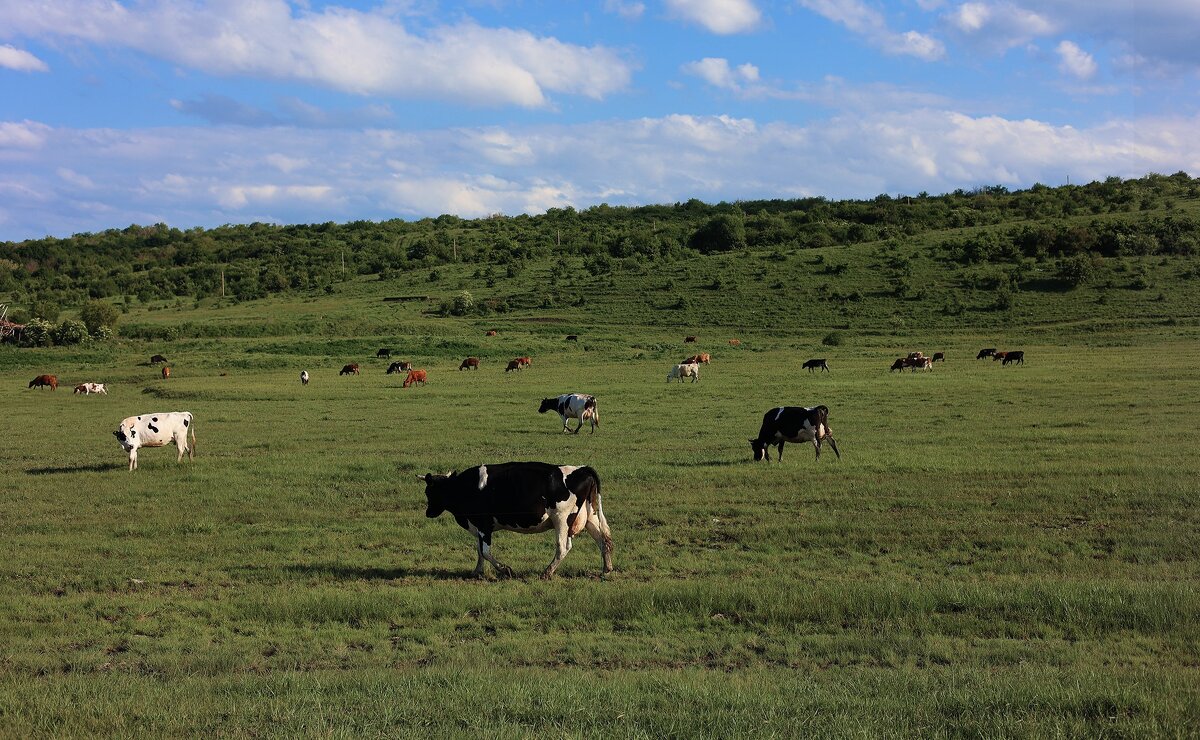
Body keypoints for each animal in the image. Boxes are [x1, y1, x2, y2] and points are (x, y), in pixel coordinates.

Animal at [417, 460, 614, 578]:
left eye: (429, 491)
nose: (428, 512)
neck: (464, 487)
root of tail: (583, 468)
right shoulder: (478, 527)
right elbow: (479, 550)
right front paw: (477, 572)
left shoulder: (484, 525)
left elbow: (486, 551)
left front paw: (506, 569)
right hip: (590, 517)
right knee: (603, 540)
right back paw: (607, 569)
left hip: (561, 518)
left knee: (563, 547)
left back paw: (547, 572)